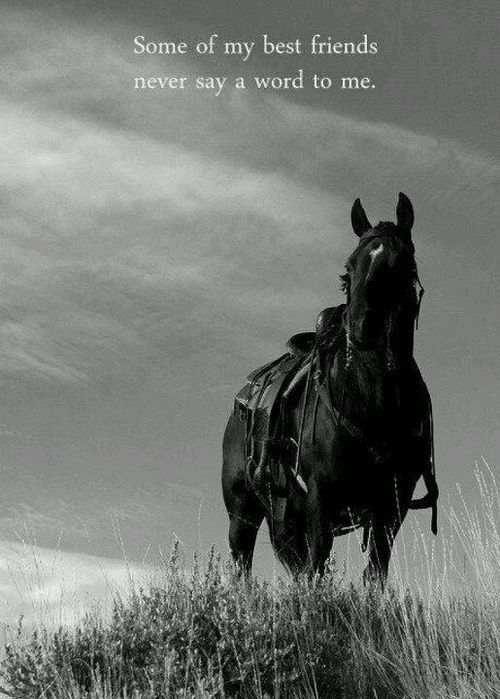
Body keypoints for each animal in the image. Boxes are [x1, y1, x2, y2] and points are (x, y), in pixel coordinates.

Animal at [221, 193, 438, 585]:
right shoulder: (321, 498)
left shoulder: (392, 505)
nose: (362, 327)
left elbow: (375, 572)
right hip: (244, 515)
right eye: (349, 268)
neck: (374, 402)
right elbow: (317, 567)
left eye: (403, 262)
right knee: (244, 566)